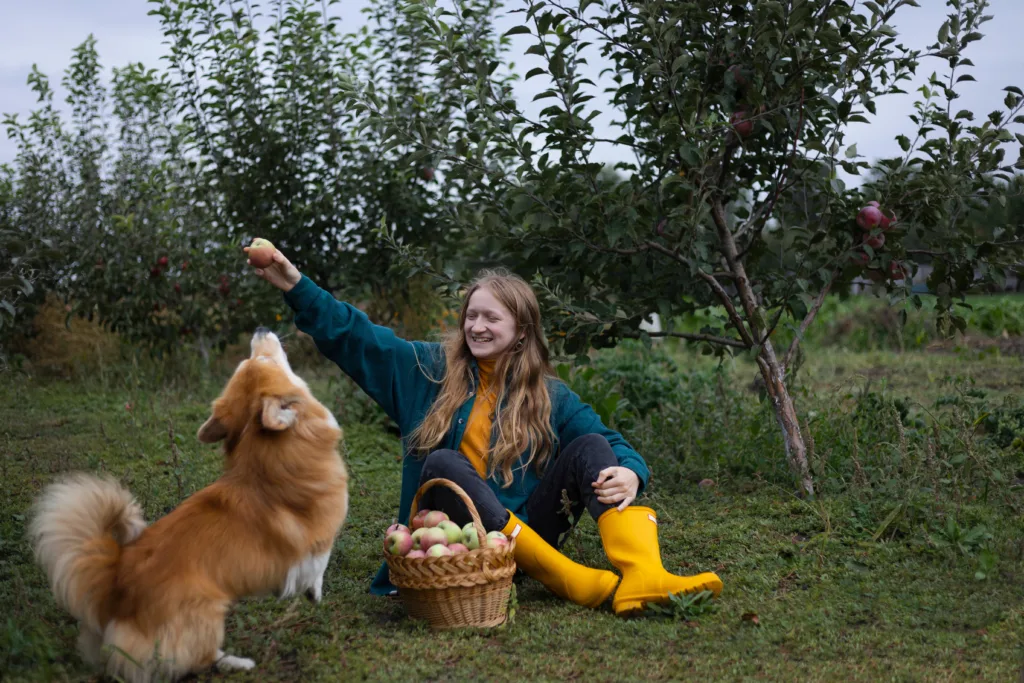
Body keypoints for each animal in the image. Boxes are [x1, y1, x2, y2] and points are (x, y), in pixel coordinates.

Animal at [29, 327, 348, 679]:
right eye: (260, 360)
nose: (260, 330)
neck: (267, 458)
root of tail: (113, 591)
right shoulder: (319, 536)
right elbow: (318, 564)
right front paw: (313, 592)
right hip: (206, 615)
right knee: (199, 658)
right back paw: (237, 662)